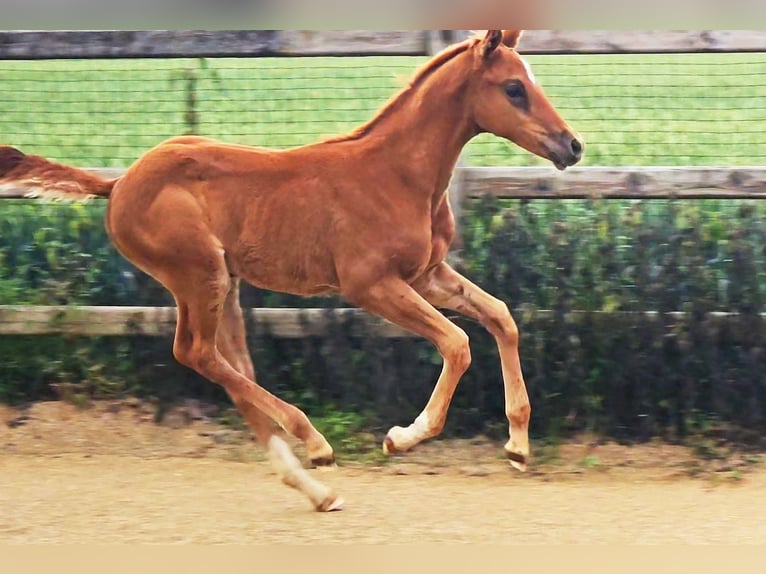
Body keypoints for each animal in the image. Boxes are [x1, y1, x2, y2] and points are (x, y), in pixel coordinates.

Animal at [0, 30, 584, 512]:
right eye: (514, 88)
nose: (572, 145)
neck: (397, 174)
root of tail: (118, 184)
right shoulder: (370, 284)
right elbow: (458, 343)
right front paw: (403, 437)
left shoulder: (427, 274)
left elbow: (501, 316)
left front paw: (517, 447)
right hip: (199, 274)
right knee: (194, 353)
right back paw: (317, 445)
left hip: (225, 285)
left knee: (226, 366)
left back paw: (316, 489)